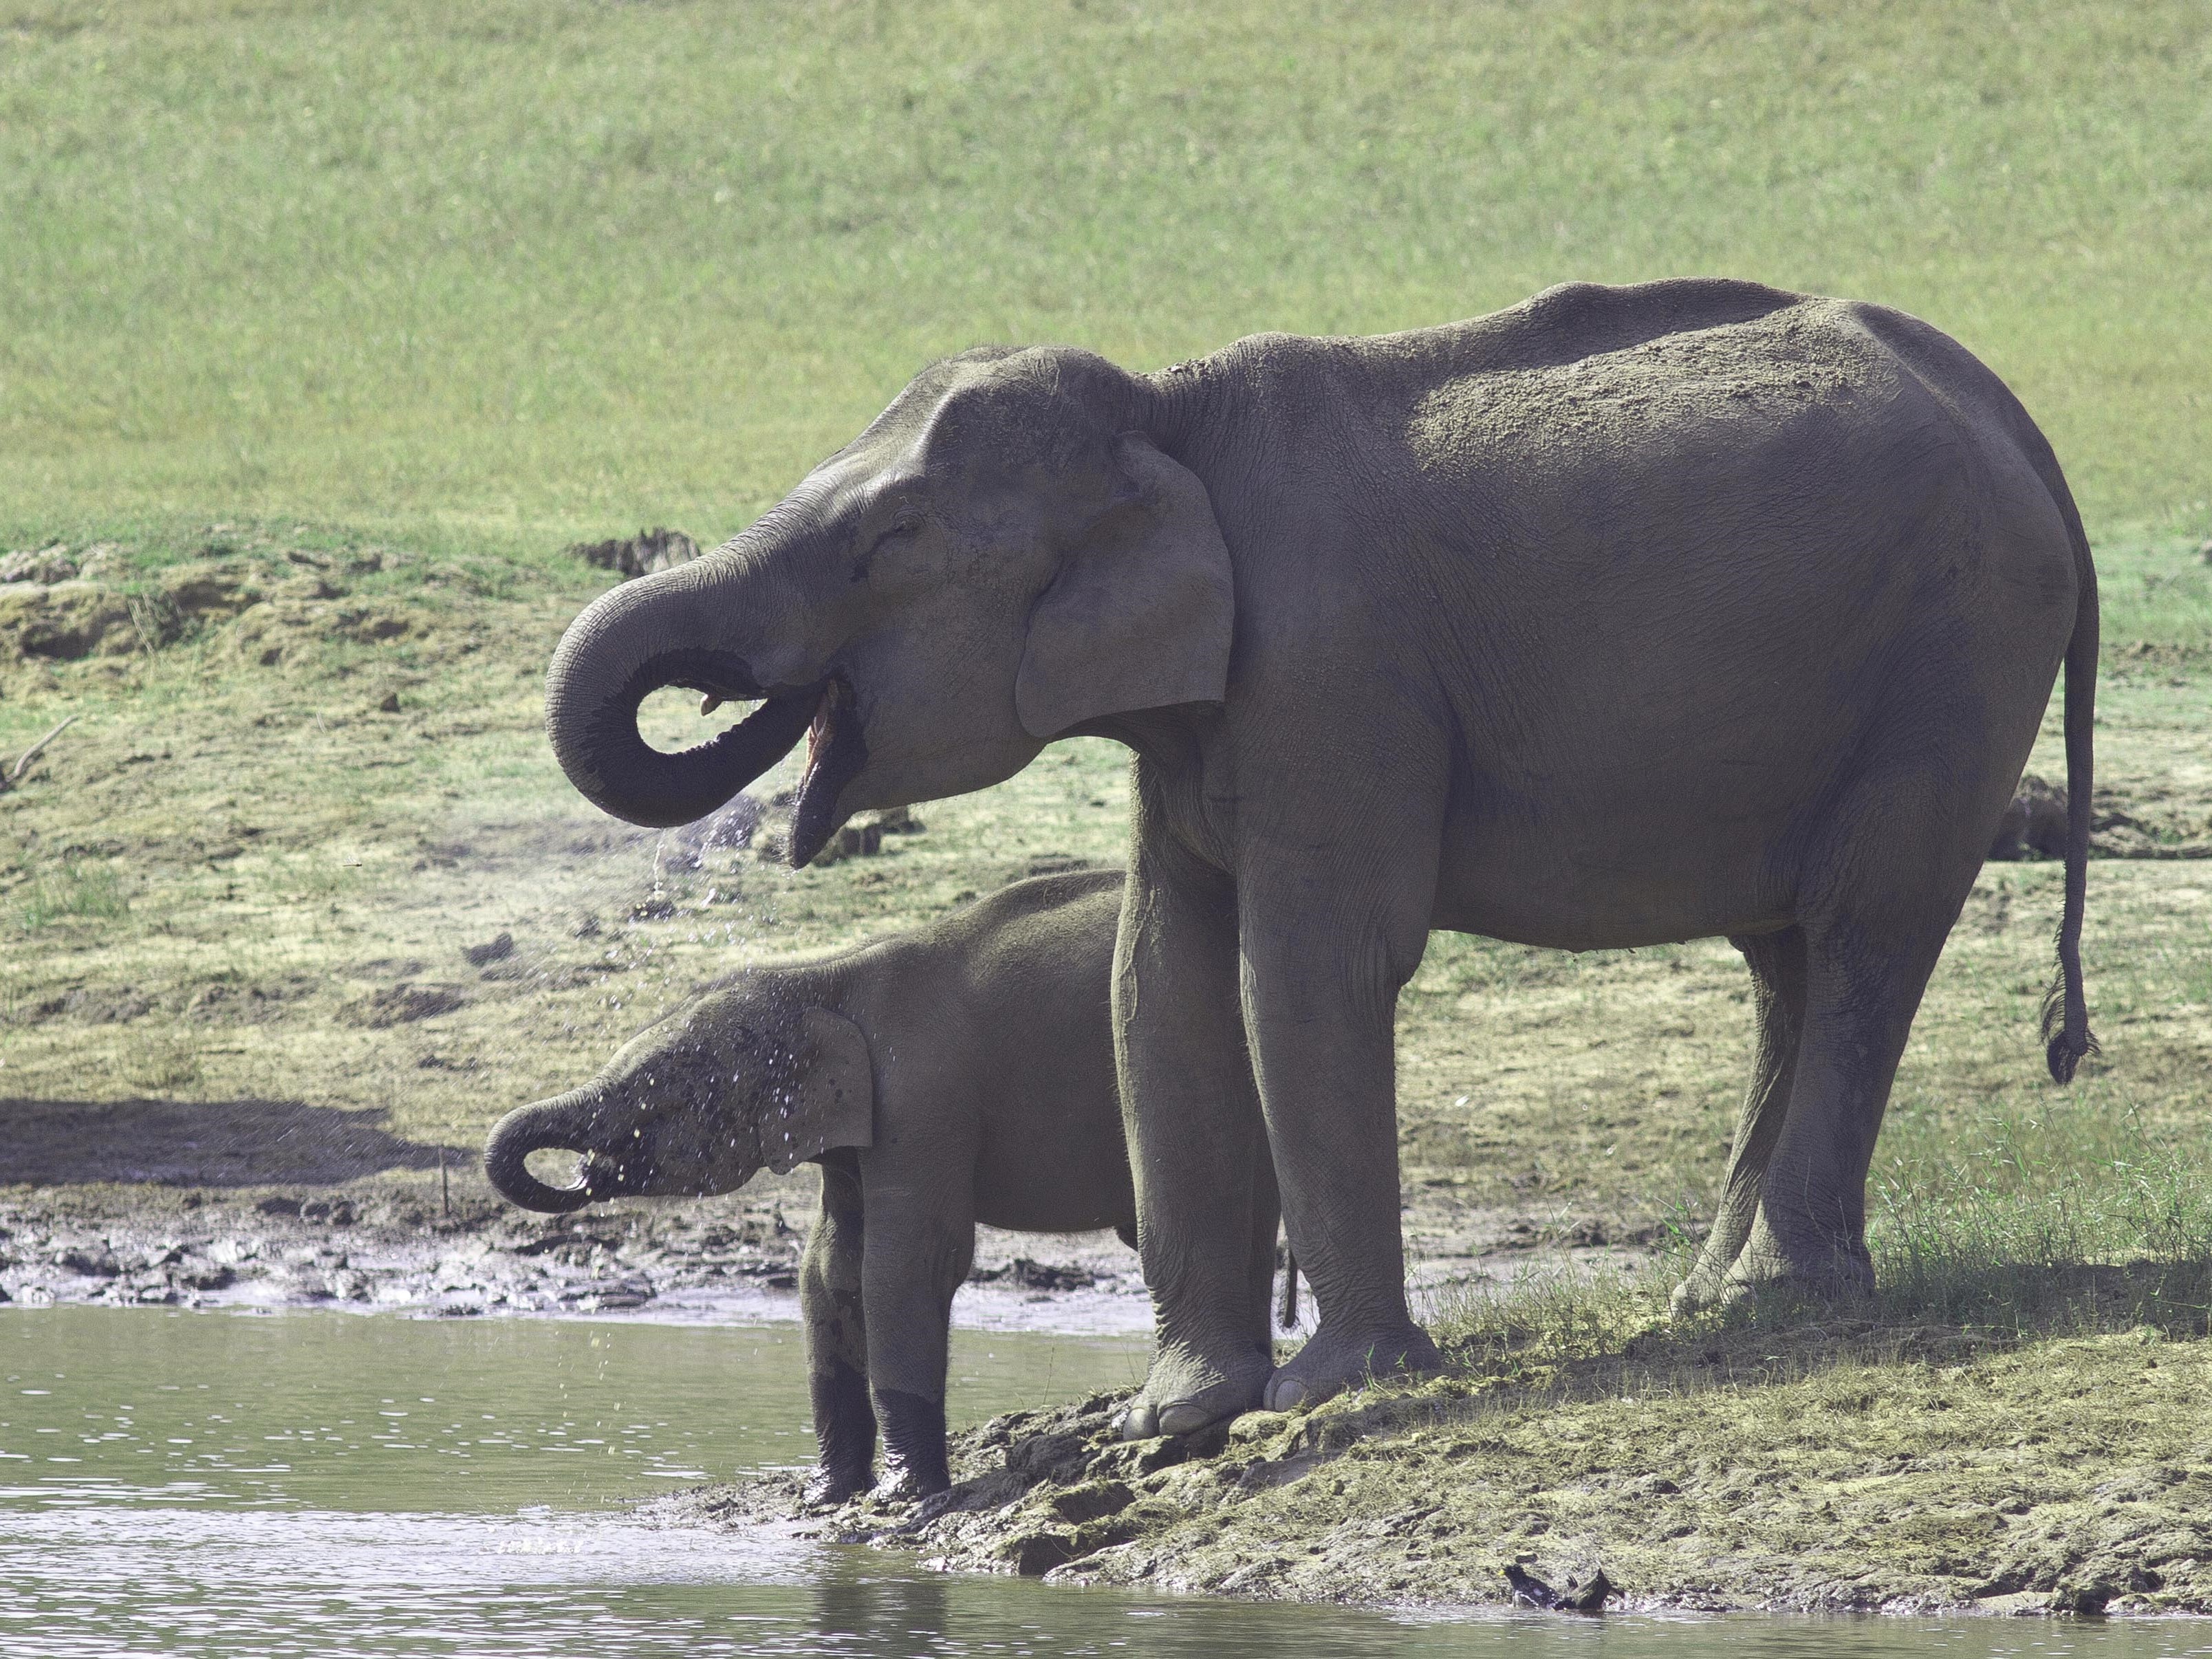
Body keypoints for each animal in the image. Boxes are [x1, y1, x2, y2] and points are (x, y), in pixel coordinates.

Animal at [484, 871, 1283, 1504]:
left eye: (674, 1096)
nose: (585, 1173)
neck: (823, 978)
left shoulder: (922, 1099)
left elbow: (907, 1265)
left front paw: (907, 1499)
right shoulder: (853, 1130)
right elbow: (829, 1270)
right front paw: (828, 1497)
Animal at [544, 283, 2096, 1442]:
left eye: (890, 542)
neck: (1166, 415)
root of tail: (2020, 422)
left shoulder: (1334, 670)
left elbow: (1299, 968)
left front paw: (1327, 1394)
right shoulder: (1206, 715)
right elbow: (1159, 980)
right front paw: (1171, 1418)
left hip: (1953, 659)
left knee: (1862, 934)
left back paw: (1778, 1299)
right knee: (1787, 962)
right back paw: (1710, 1302)